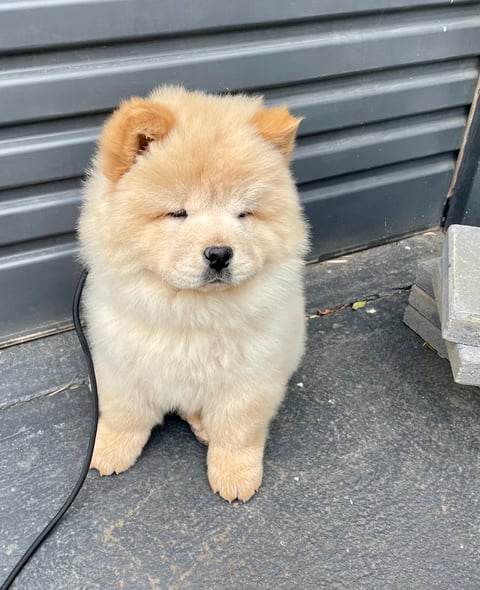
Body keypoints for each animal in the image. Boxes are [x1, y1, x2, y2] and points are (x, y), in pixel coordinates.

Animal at [78, 88, 308, 504]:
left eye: (243, 215)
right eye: (177, 213)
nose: (219, 253)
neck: (191, 311)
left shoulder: (251, 375)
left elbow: (237, 432)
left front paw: (234, 477)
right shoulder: (121, 361)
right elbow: (122, 413)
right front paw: (106, 450)